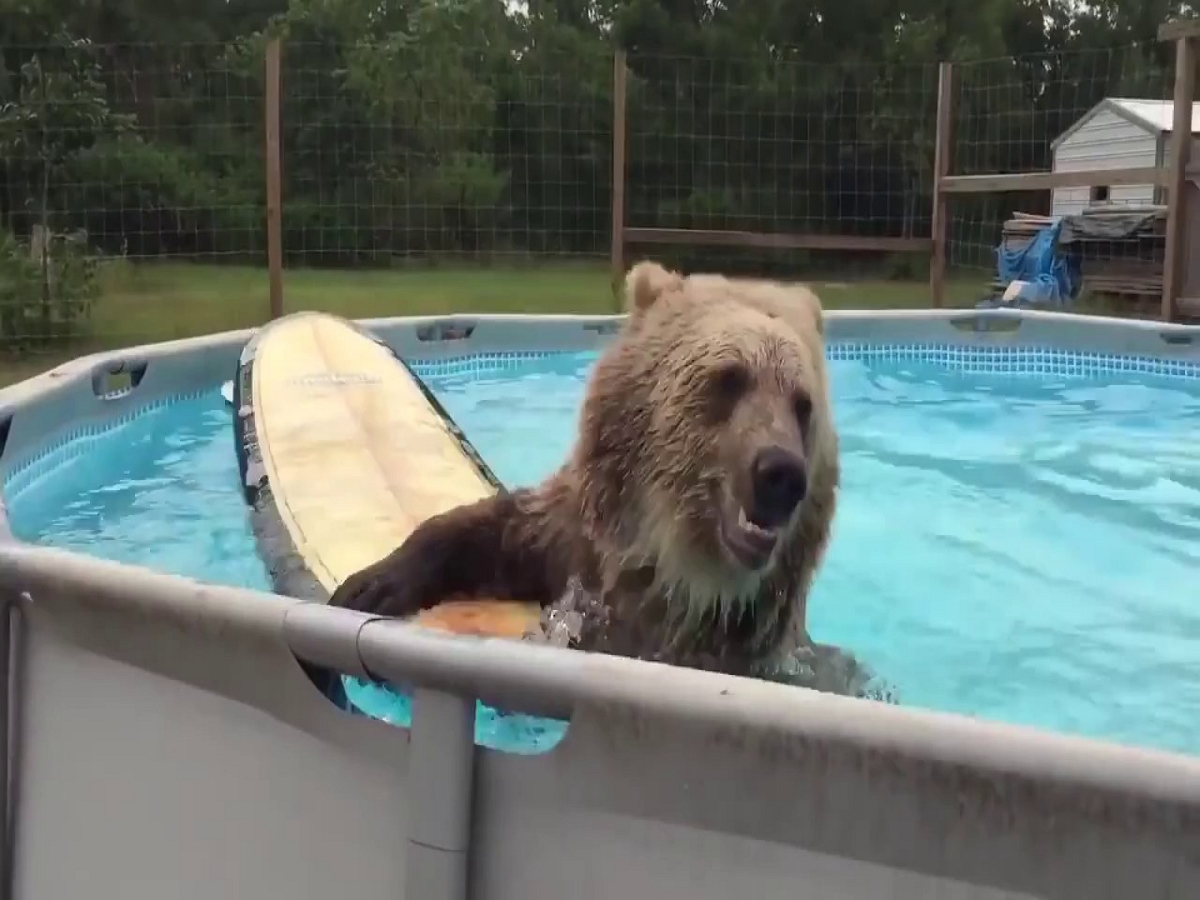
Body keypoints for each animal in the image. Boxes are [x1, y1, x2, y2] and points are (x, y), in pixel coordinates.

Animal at [324, 260, 840, 681]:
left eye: (802, 404)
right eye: (730, 378)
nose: (780, 473)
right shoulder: (574, 540)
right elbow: (493, 530)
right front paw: (369, 586)